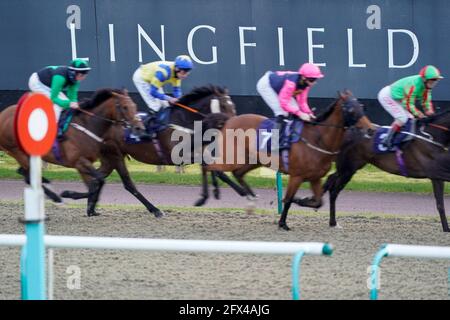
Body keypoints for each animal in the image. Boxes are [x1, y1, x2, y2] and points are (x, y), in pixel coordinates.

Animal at [0, 89, 144, 216]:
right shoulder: (79, 161)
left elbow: (94, 184)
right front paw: (68, 194)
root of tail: (3, 114)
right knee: (29, 175)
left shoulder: (86, 162)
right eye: (125, 107)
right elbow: (98, 181)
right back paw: (56, 198)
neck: (87, 125)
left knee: (24, 173)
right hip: (17, 151)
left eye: (135, 106)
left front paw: (90, 209)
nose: (139, 128)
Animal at [59, 85, 239, 215]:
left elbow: (212, 167)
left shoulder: (198, 151)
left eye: (233, 105)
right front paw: (229, 192)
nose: (235, 123)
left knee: (99, 178)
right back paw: (155, 210)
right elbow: (210, 167)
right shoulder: (178, 155)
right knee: (124, 183)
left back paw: (88, 206)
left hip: (110, 157)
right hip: (114, 154)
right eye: (224, 105)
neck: (183, 121)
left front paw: (217, 192)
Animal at [195, 90, 370, 230]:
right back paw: (203, 197)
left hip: (252, 160)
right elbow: (288, 200)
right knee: (208, 166)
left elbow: (318, 202)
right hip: (232, 157)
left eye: (361, 106)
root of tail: (229, 120)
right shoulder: (297, 176)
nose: (369, 128)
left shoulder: (315, 177)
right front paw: (283, 223)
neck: (317, 139)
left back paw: (250, 199)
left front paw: (302, 200)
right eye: (350, 108)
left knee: (237, 173)